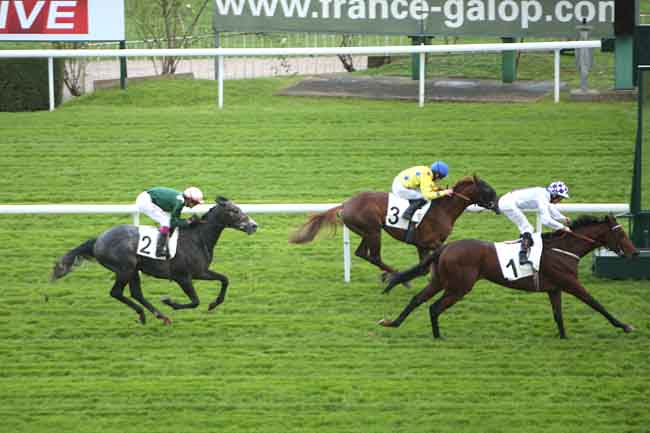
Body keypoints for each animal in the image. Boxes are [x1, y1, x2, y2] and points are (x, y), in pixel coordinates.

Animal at [51, 196, 258, 324]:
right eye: (234, 210)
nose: (254, 225)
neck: (197, 238)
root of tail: (98, 240)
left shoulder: (201, 272)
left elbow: (224, 279)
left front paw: (214, 303)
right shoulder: (183, 277)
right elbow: (195, 301)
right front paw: (169, 301)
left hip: (134, 270)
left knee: (135, 293)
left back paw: (159, 316)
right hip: (125, 269)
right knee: (116, 292)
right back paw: (146, 313)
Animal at [288, 176, 496, 280]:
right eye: (487, 189)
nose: (496, 203)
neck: (442, 209)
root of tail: (346, 204)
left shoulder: (421, 245)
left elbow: (423, 268)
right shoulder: (432, 242)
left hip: (367, 232)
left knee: (362, 253)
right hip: (373, 230)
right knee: (374, 256)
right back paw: (393, 275)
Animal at [380, 214, 636, 340]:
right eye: (622, 233)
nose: (634, 253)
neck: (564, 249)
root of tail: (446, 247)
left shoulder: (555, 288)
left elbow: (558, 315)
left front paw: (563, 337)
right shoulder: (570, 283)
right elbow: (596, 304)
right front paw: (625, 325)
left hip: (441, 281)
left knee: (417, 300)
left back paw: (393, 322)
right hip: (459, 286)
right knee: (434, 307)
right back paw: (437, 336)